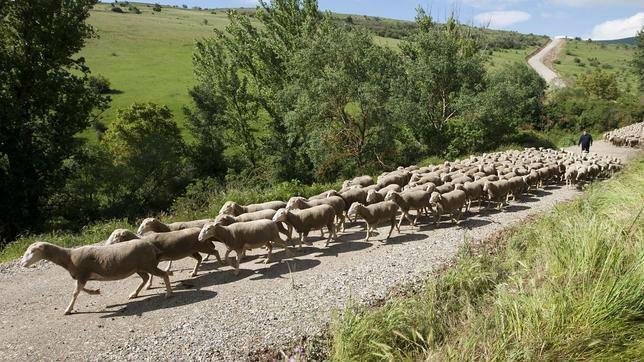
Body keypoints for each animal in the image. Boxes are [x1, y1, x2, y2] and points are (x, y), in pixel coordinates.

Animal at [20, 240, 172, 314]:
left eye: (32, 251)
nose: (22, 264)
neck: (68, 257)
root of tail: (151, 245)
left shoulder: (83, 274)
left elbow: (75, 293)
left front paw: (68, 310)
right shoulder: (83, 276)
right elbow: (80, 290)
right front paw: (95, 291)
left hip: (147, 264)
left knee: (163, 274)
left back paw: (168, 293)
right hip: (139, 267)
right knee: (145, 278)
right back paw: (134, 294)